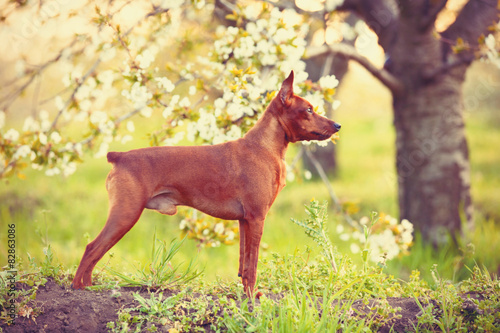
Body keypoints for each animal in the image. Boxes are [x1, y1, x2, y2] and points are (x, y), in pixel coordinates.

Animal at [71, 71, 340, 296]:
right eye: (309, 110)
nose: (338, 125)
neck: (264, 147)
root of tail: (119, 156)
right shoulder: (257, 217)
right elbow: (253, 266)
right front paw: (252, 299)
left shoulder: (245, 221)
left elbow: (244, 265)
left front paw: (245, 294)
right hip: (126, 214)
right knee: (91, 248)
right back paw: (79, 289)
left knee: (94, 252)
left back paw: (89, 287)